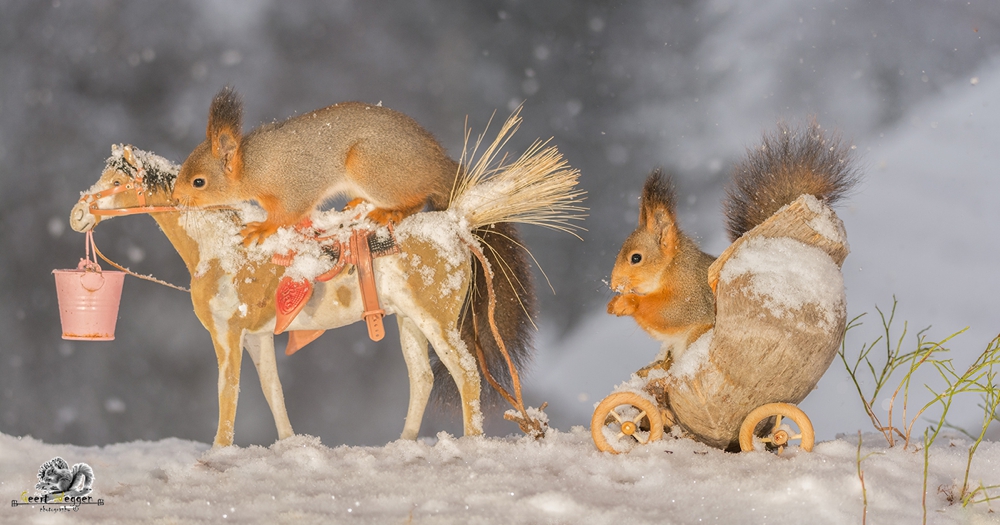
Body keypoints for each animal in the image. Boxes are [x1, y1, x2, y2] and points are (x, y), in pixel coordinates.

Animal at [175, 87, 460, 246]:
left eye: (198, 182)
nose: (176, 199)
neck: (255, 167)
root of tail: (439, 165)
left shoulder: (296, 185)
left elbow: (288, 214)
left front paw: (264, 227)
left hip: (370, 166)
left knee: (417, 199)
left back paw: (391, 212)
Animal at [608, 122, 860, 360]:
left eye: (636, 258)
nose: (613, 285)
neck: (671, 269)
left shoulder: (692, 295)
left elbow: (671, 314)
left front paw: (627, 303)